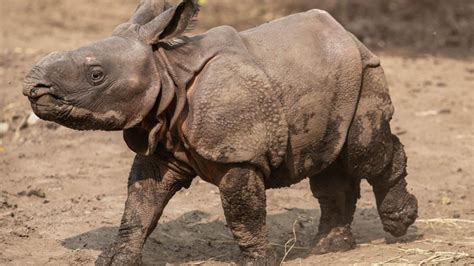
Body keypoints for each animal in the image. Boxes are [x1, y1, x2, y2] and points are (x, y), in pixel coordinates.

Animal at [24, 1, 418, 264]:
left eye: (96, 75)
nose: (33, 87)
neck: (167, 71)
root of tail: (346, 34)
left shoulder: (238, 153)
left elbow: (242, 214)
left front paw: (256, 261)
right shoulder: (160, 145)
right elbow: (139, 208)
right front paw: (115, 259)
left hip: (364, 71)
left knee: (364, 153)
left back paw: (399, 225)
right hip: (333, 80)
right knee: (329, 161)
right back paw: (329, 247)